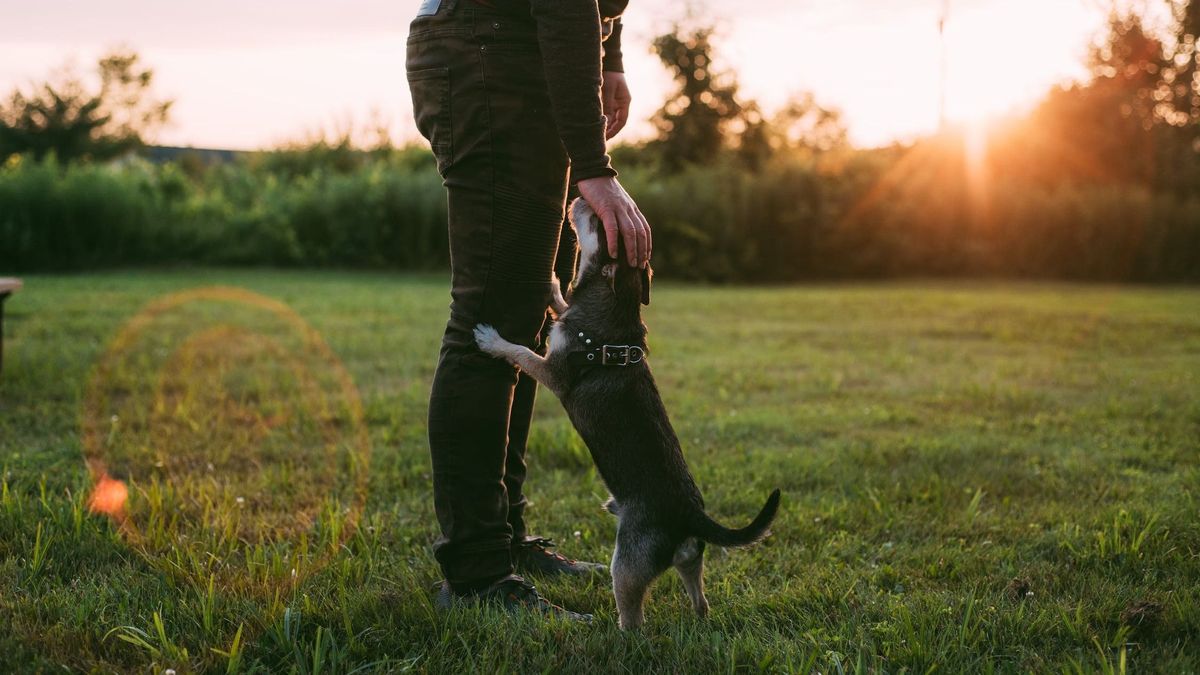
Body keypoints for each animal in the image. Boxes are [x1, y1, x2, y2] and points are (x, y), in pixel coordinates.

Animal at [472, 196, 782, 629]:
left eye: (598, 222)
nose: (579, 197)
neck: (615, 304)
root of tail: (689, 514)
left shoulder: (554, 371)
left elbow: (521, 352)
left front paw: (492, 339)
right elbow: (561, 302)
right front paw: (552, 280)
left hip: (627, 565)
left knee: (633, 619)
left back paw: (615, 632)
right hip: (690, 560)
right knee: (700, 596)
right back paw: (698, 616)